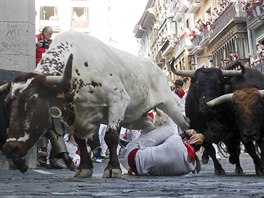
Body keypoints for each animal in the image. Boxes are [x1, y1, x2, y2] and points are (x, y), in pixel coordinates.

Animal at [0, 31, 190, 178]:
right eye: (8, 104)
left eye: (34, 101)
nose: (10, 148)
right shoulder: (77, 116)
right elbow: (80, 141)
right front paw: (84, 168)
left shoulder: (118, 102)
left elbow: (111, 137)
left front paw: (113, 168)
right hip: (135, 118)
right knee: (150, 125)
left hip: (169, 103)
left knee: (185, 124)